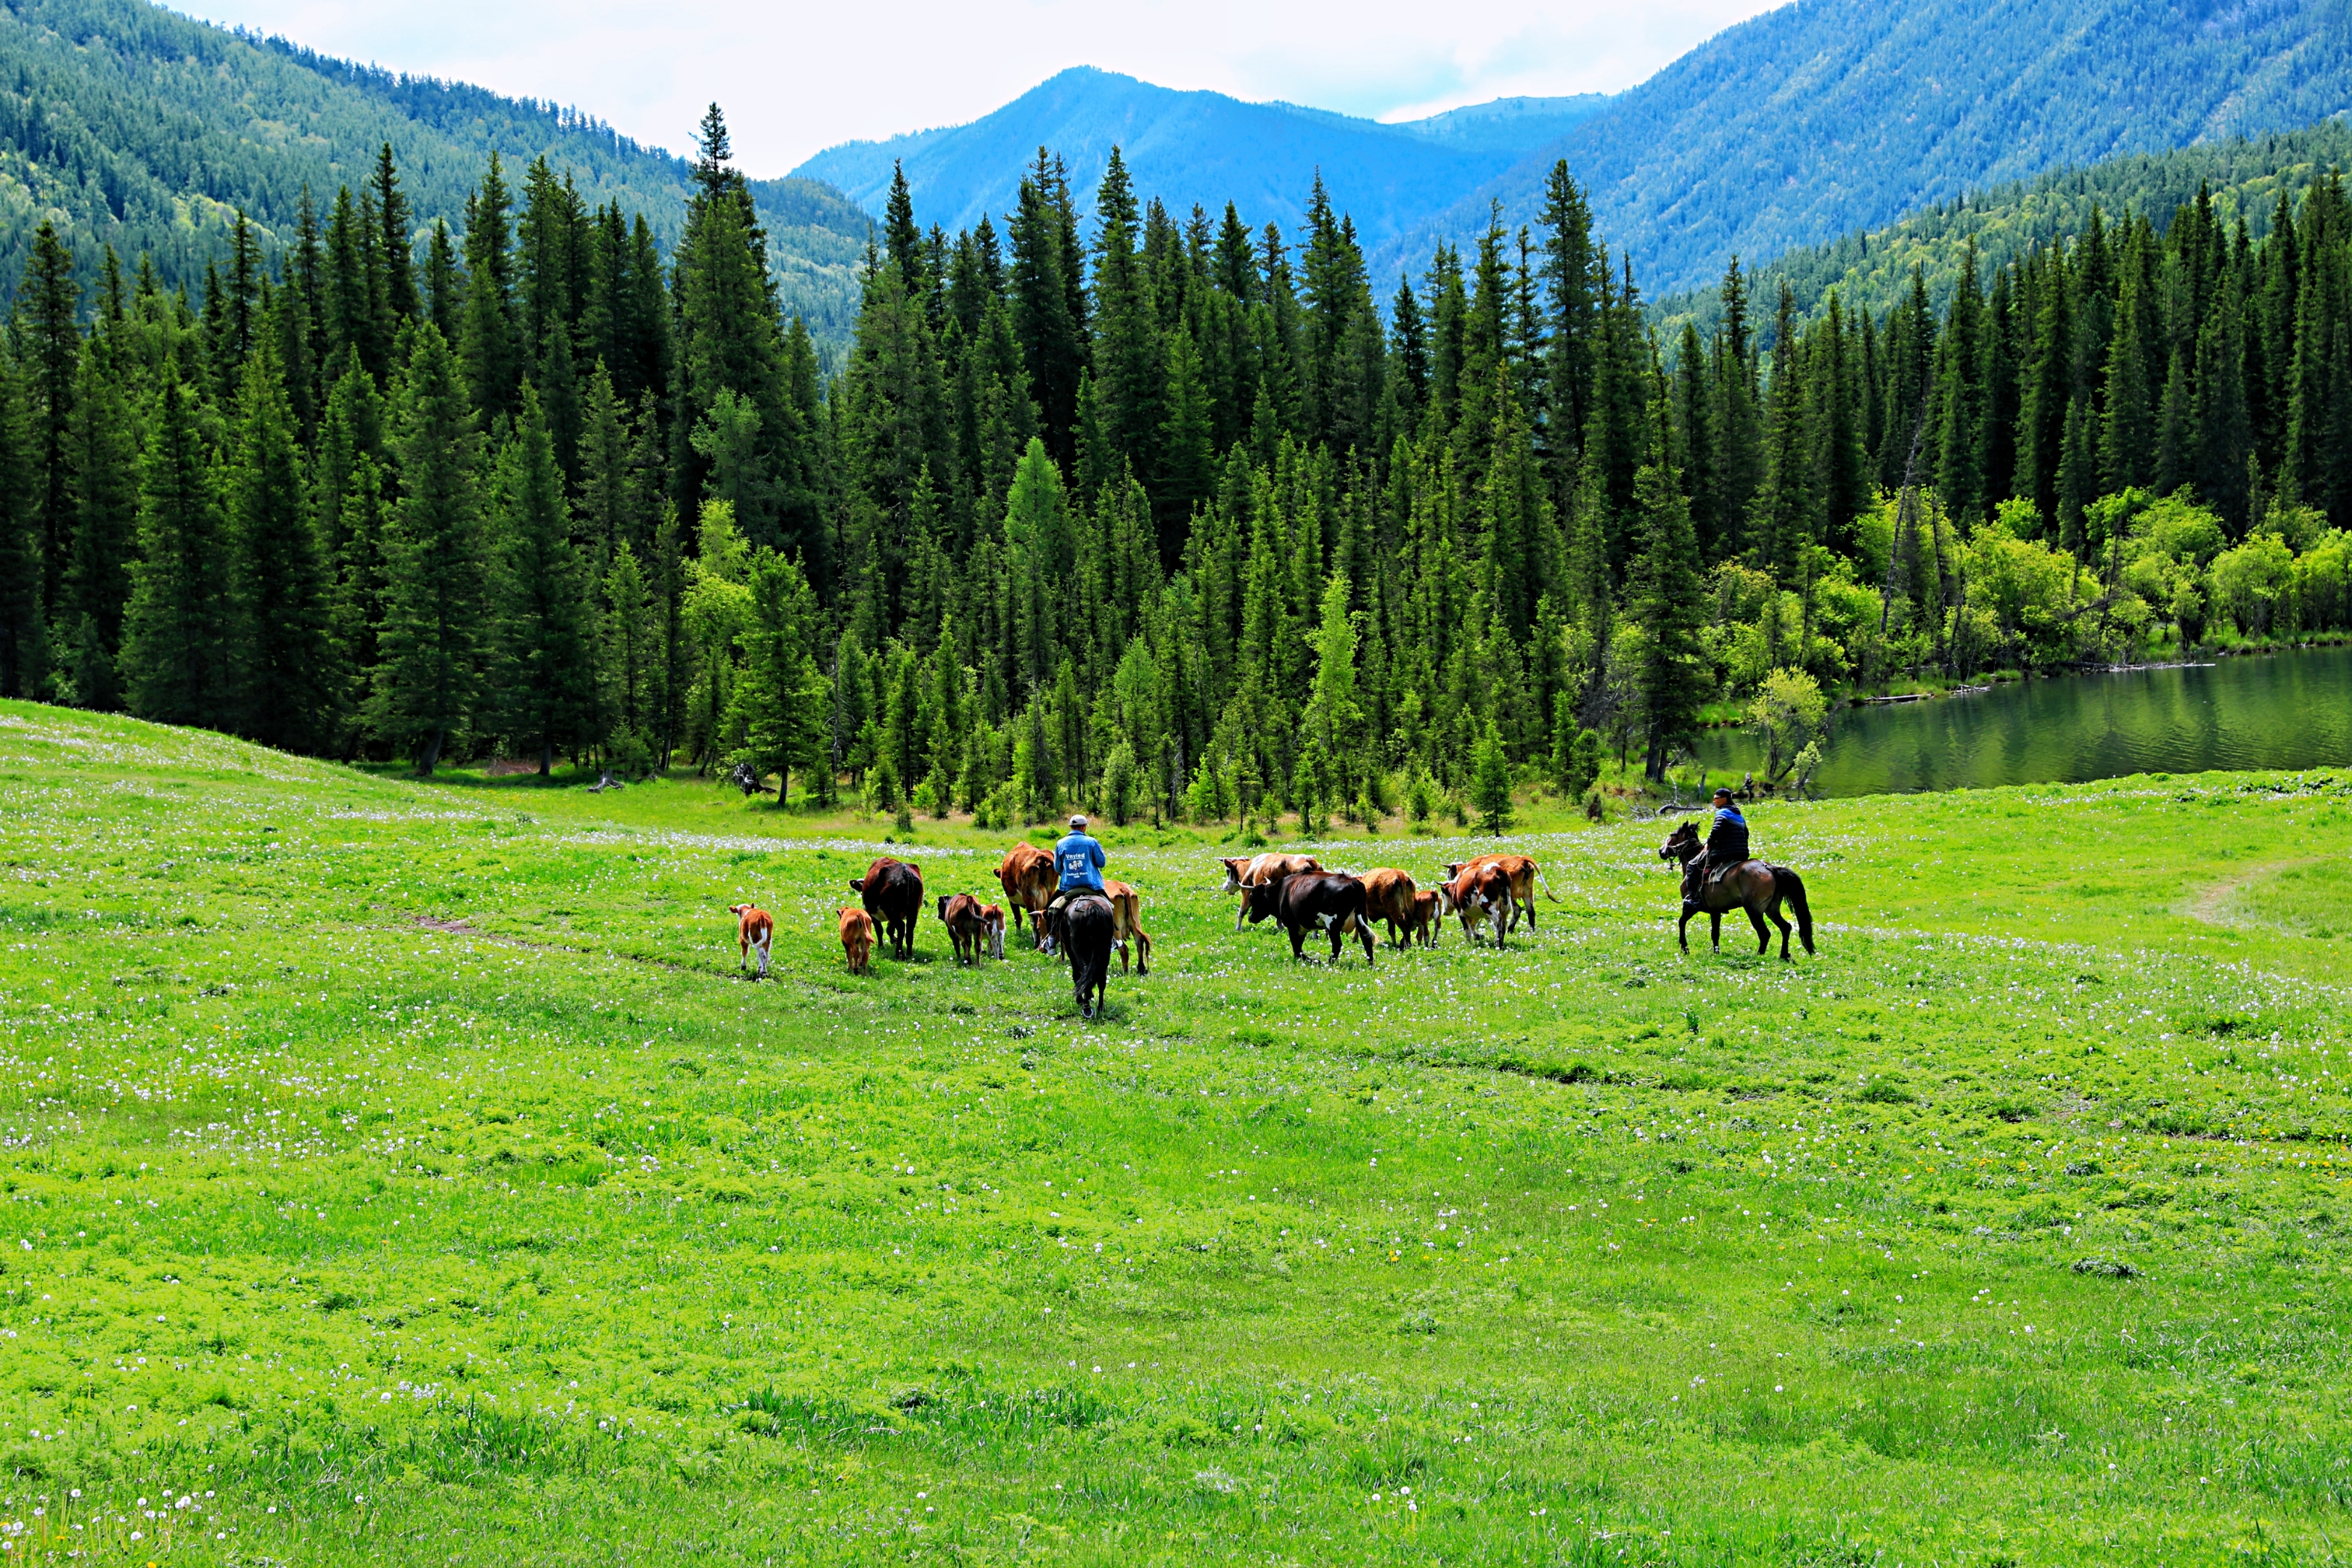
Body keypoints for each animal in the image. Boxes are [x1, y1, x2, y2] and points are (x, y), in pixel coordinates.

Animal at [846, 860, 917, 959]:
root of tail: (904, 870)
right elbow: (890, 929)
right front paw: (893, 940)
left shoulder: (871, 914)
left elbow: (880, 930)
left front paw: (881, 946)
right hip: (912, 911)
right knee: (909, 929)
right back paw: (910, 954)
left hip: (890, 910)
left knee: (901, 926)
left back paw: (900, 955)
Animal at [1251, 879, 1373, 963]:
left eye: (1253, 898)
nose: (1250, 917)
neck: (1282, 891)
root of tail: (1354, 882)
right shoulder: (1302, 927)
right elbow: (1298, 945)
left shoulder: (1292, 924)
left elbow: (1296, 946)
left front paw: (1311, 960)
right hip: (1362, 920)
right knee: (1367, 940)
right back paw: (1371, 964)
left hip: (1332, 924)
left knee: (1337, 944)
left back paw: (1329, 963)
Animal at [1655, 817, 1816, 963]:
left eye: (1673, 835)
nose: (1661, 851)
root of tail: (1769, 868)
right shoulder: (1715, 910)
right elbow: (1715, 933)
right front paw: (1716, 952)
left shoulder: (1690, 906)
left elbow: (1681, 922)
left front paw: (1685, 948)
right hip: (1771, 909)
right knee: (1785, 928)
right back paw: (1784, 955)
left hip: (1754, 910)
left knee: (1765, 933)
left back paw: (1759, 956)